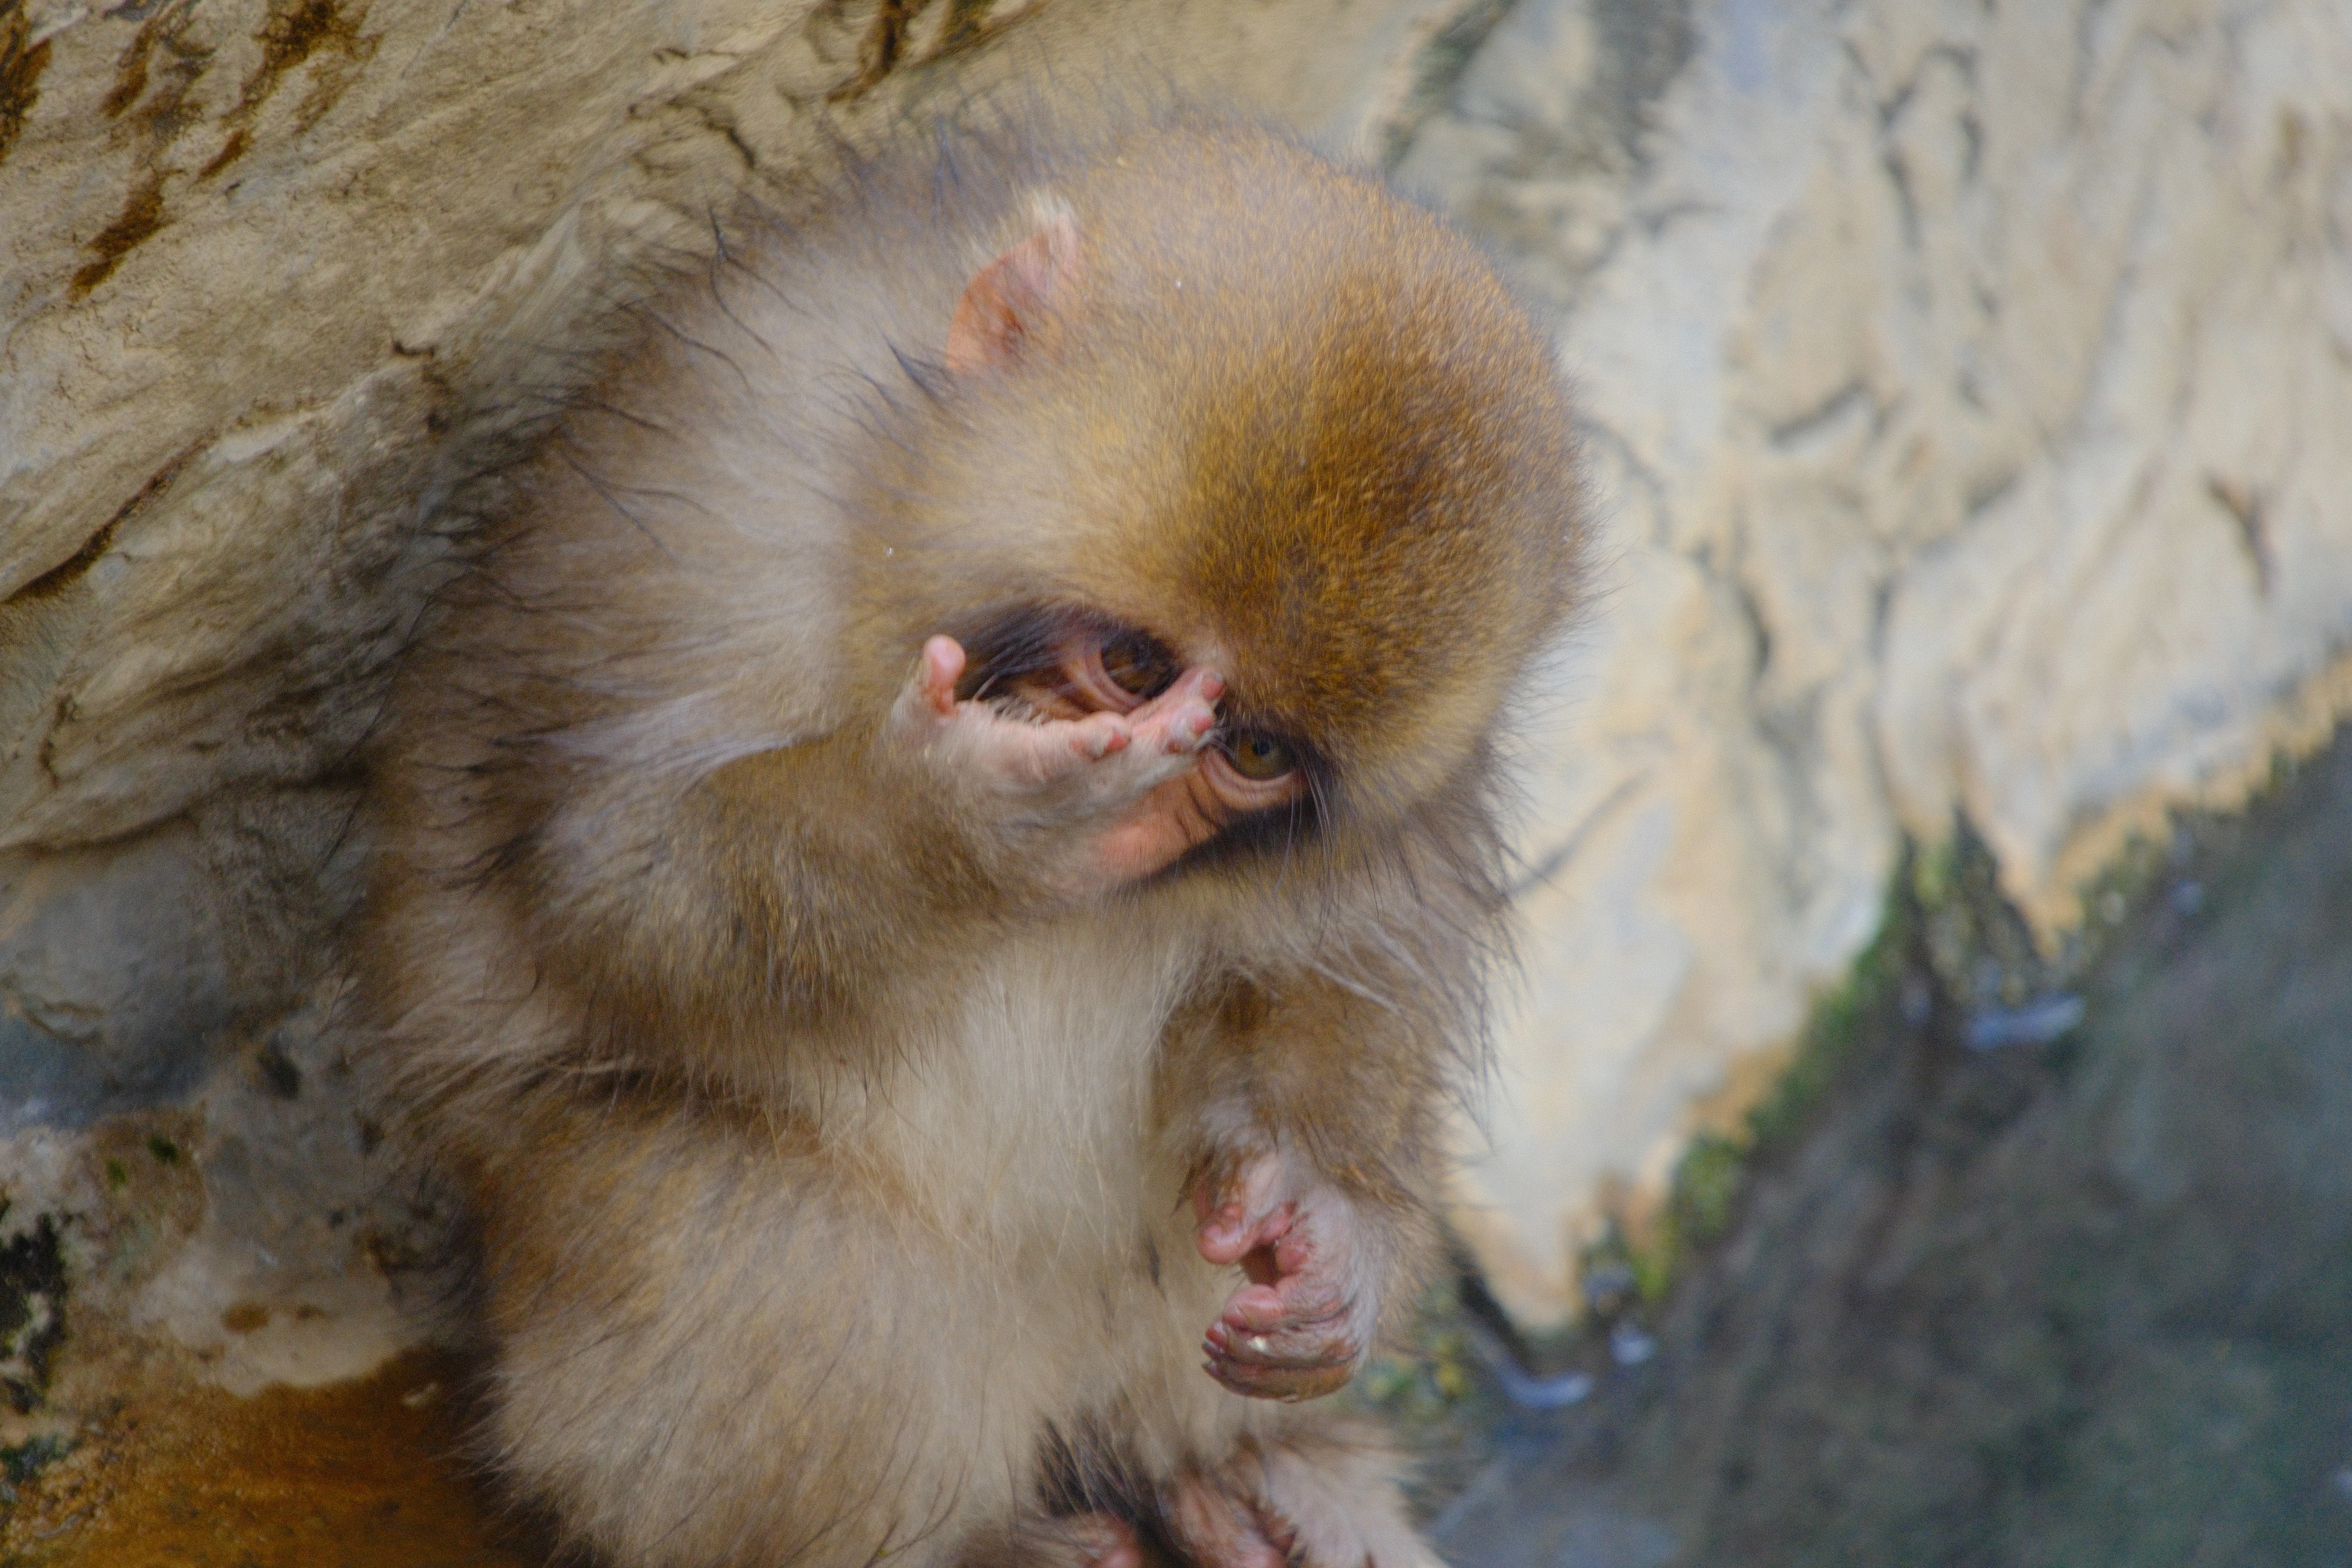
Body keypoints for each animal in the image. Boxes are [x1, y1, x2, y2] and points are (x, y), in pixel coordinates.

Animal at [357, 109, 1581, 1568]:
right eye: (1132, 666)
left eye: (1253, 754)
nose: (1144, 803)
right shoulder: (714, 500)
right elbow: (606, 873)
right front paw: (958, 827)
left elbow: (1349, 952)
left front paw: (1322, 1217)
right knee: (786, 1256)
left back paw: (1243, 1476)